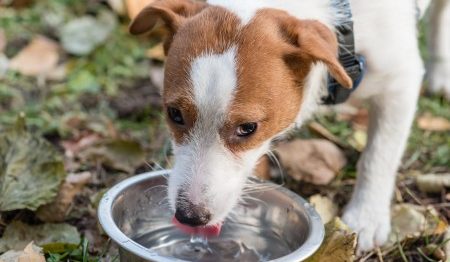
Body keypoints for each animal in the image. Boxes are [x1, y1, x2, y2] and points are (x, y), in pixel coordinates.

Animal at [130, 0, 450, 253]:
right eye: (174, 114)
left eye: (248, 128)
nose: (189, 217)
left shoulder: (401, 83)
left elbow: (378, 157)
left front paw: (367, 217)